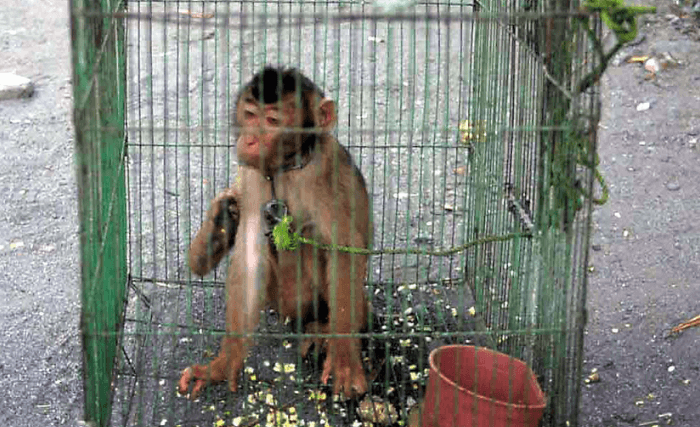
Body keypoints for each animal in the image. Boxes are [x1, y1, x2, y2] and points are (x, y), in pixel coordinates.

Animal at [179, 66, 372, 402]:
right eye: (250, 114)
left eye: (271, 121)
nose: (249, 140)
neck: (288, 167)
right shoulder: (253, 177)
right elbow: (249, 256)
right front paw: (224, 363)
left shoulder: (325, 173)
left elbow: (344, 249)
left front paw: (345, 360)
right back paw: (220, 224)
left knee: (313, 242)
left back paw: (325, 331)